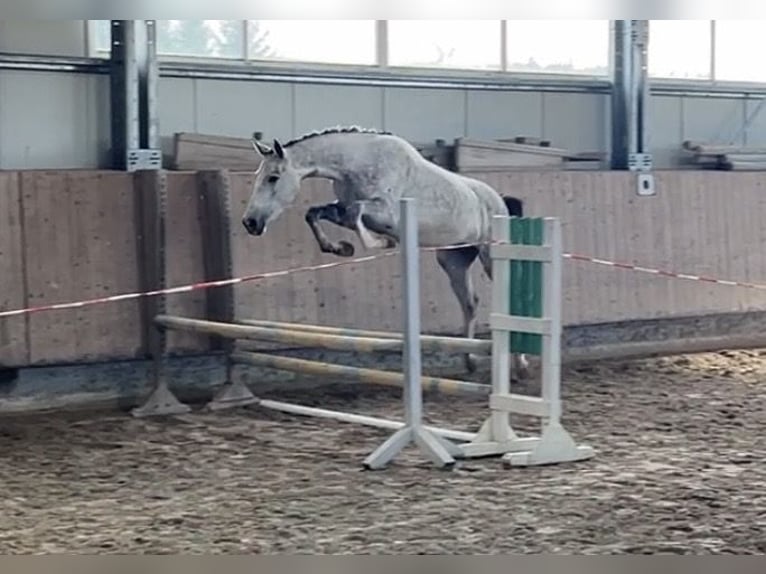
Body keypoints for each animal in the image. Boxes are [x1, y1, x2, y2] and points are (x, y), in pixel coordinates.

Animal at [241, 126, 528, 379]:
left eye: (273, 177)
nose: (250, 223)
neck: (358, 163)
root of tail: (499, 202)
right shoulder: (342, 211)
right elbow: (316, 214)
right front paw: (340, 248)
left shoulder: (385, 213)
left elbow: (357, 212)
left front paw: (381, 243)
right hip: (453, 260)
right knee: (469, 303)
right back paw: (470, 361)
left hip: (490, 257)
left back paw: (520, 367)